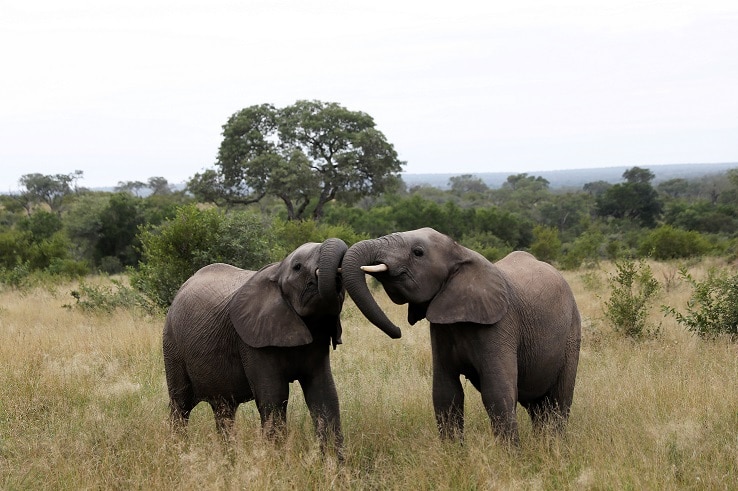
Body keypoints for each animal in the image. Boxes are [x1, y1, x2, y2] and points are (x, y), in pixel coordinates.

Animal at [162, 238, 346, 458]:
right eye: (298, 267)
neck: (277, 270)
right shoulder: (251, 342)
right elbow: (274, 397)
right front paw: (276, 462)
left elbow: (324, 393)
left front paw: (334, 464)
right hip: (172, 345)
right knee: (180, 404)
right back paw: (177, 452)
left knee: (224, 410)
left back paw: (228, 458)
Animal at [340, 229, 580, 444]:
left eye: (418, 252)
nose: (397, 331)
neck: (461, 252)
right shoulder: (441, 328)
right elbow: (446, 393)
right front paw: (453, 454)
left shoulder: (501, 324)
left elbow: (497, 392)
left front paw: (511, 459)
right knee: (537, 406)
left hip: (572, 333)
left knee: (559, 399)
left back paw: (553, 446)